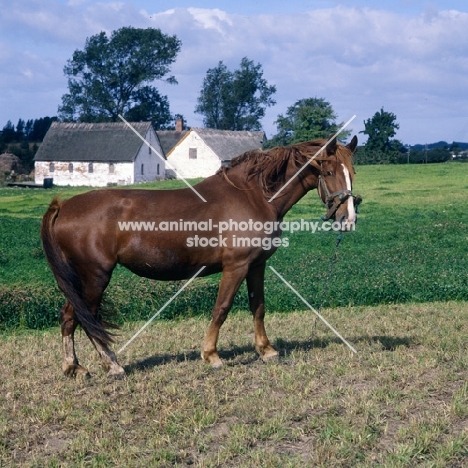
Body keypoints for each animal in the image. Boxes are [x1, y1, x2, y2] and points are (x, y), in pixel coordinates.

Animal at [42, 135, 360, 376]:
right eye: (329, 172)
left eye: (352, 173)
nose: (348, 219)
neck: (253, 195)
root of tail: (64, 206)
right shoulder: (236, 267)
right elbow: (221, 308)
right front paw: (211, 355)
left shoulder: (257, 265)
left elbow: (258, 307)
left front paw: (266, 350)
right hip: (95, 276)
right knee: (85, 318)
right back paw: (111, 365)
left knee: (69, 316)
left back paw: (74, 367)